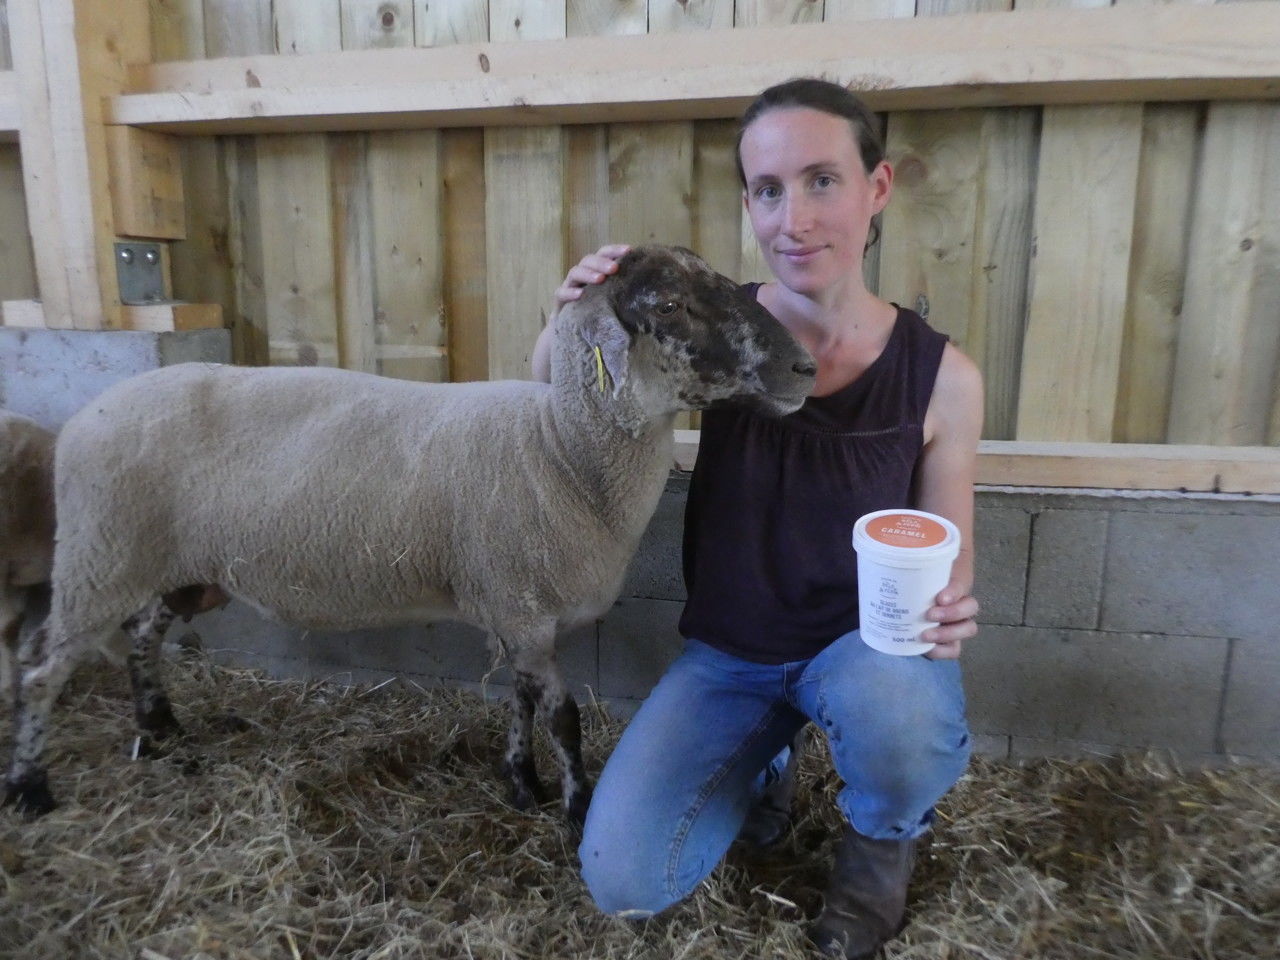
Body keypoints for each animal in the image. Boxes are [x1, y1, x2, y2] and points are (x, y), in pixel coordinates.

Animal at [2, 245, 808, 819]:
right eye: (671, 302)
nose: (804, 365)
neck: (562, 448)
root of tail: (86, 416)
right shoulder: (522, 604)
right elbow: (565, 716)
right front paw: (576, 808)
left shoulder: (512, 610)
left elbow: (519, 702)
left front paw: (523, 786)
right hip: (101, 554)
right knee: (42, 667)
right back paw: (32, 787)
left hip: (167, 565)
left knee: (143, 636)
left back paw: (162, 724)